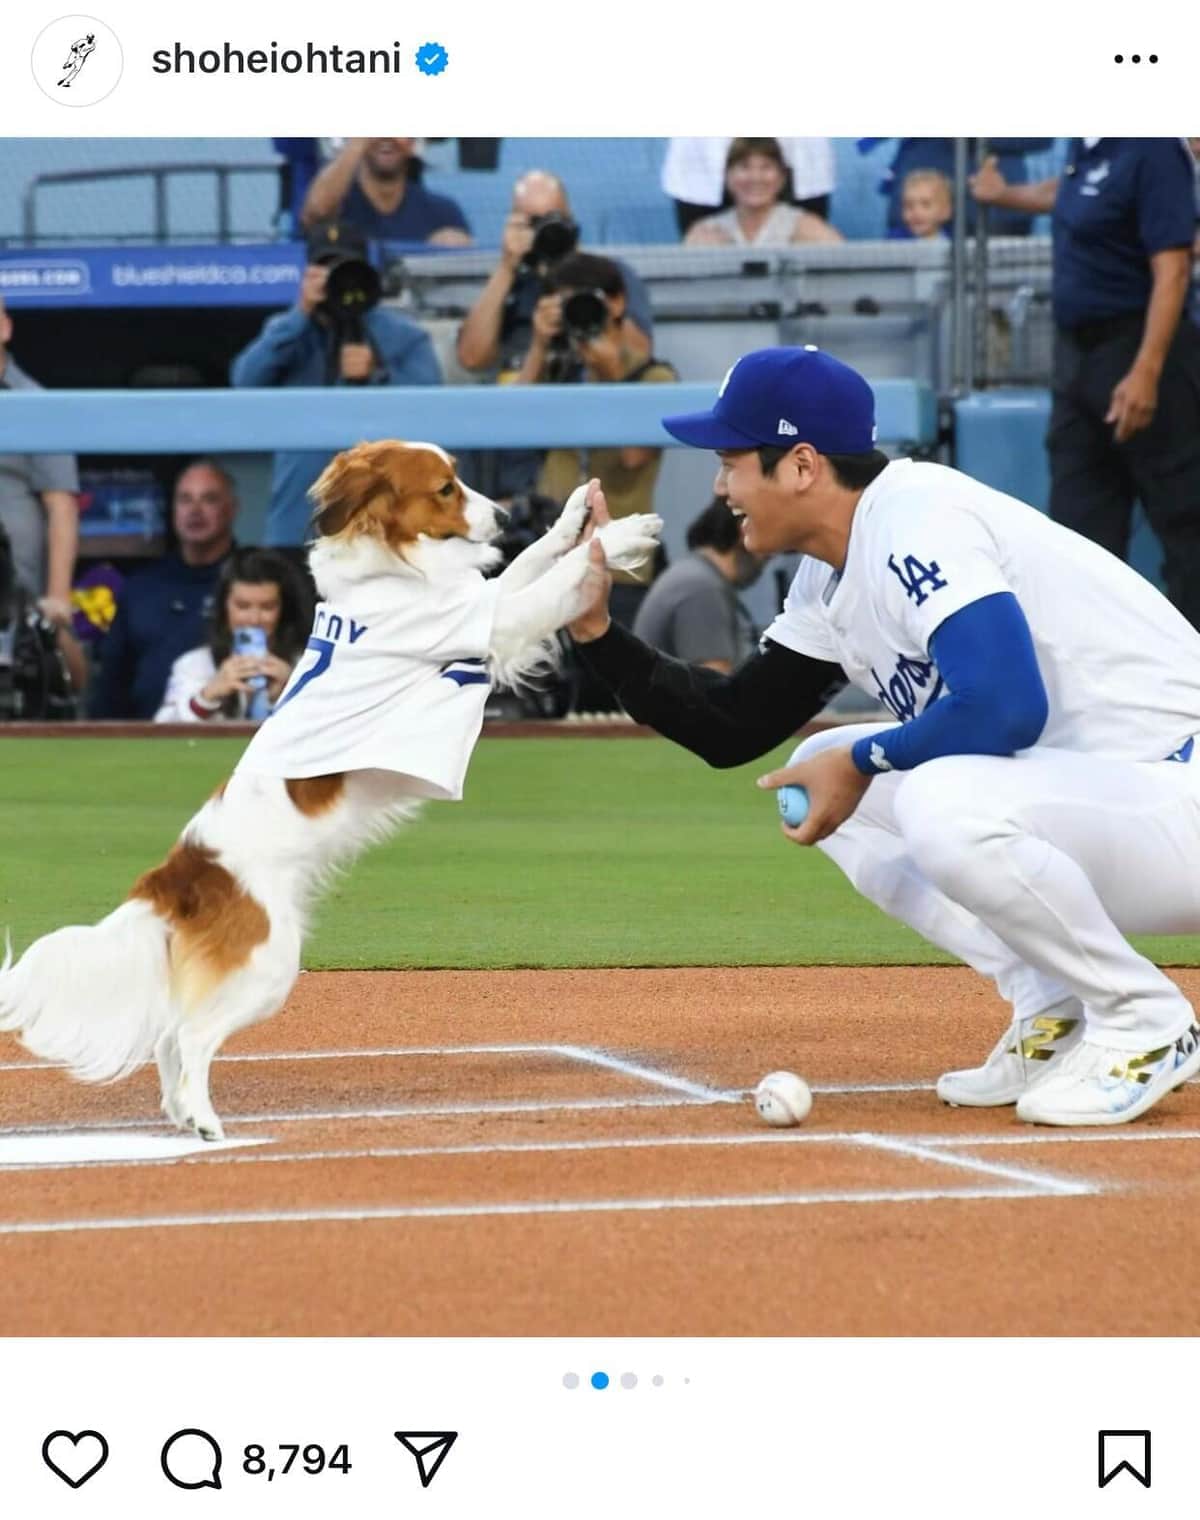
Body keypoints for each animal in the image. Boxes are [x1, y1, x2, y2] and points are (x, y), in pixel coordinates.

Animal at [0, 440, 653, 1143]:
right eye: (446, 489)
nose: (505, 518)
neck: (387, 573)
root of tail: (181, 873)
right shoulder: (490, 621)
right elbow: (558, 577)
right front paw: (621, 535)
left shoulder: (482, 606)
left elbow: (532, 563)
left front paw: (575, 515)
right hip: (269, 963)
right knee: (193, 1035)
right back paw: (206, 1121)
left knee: (172, 1036)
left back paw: (181, 1113)